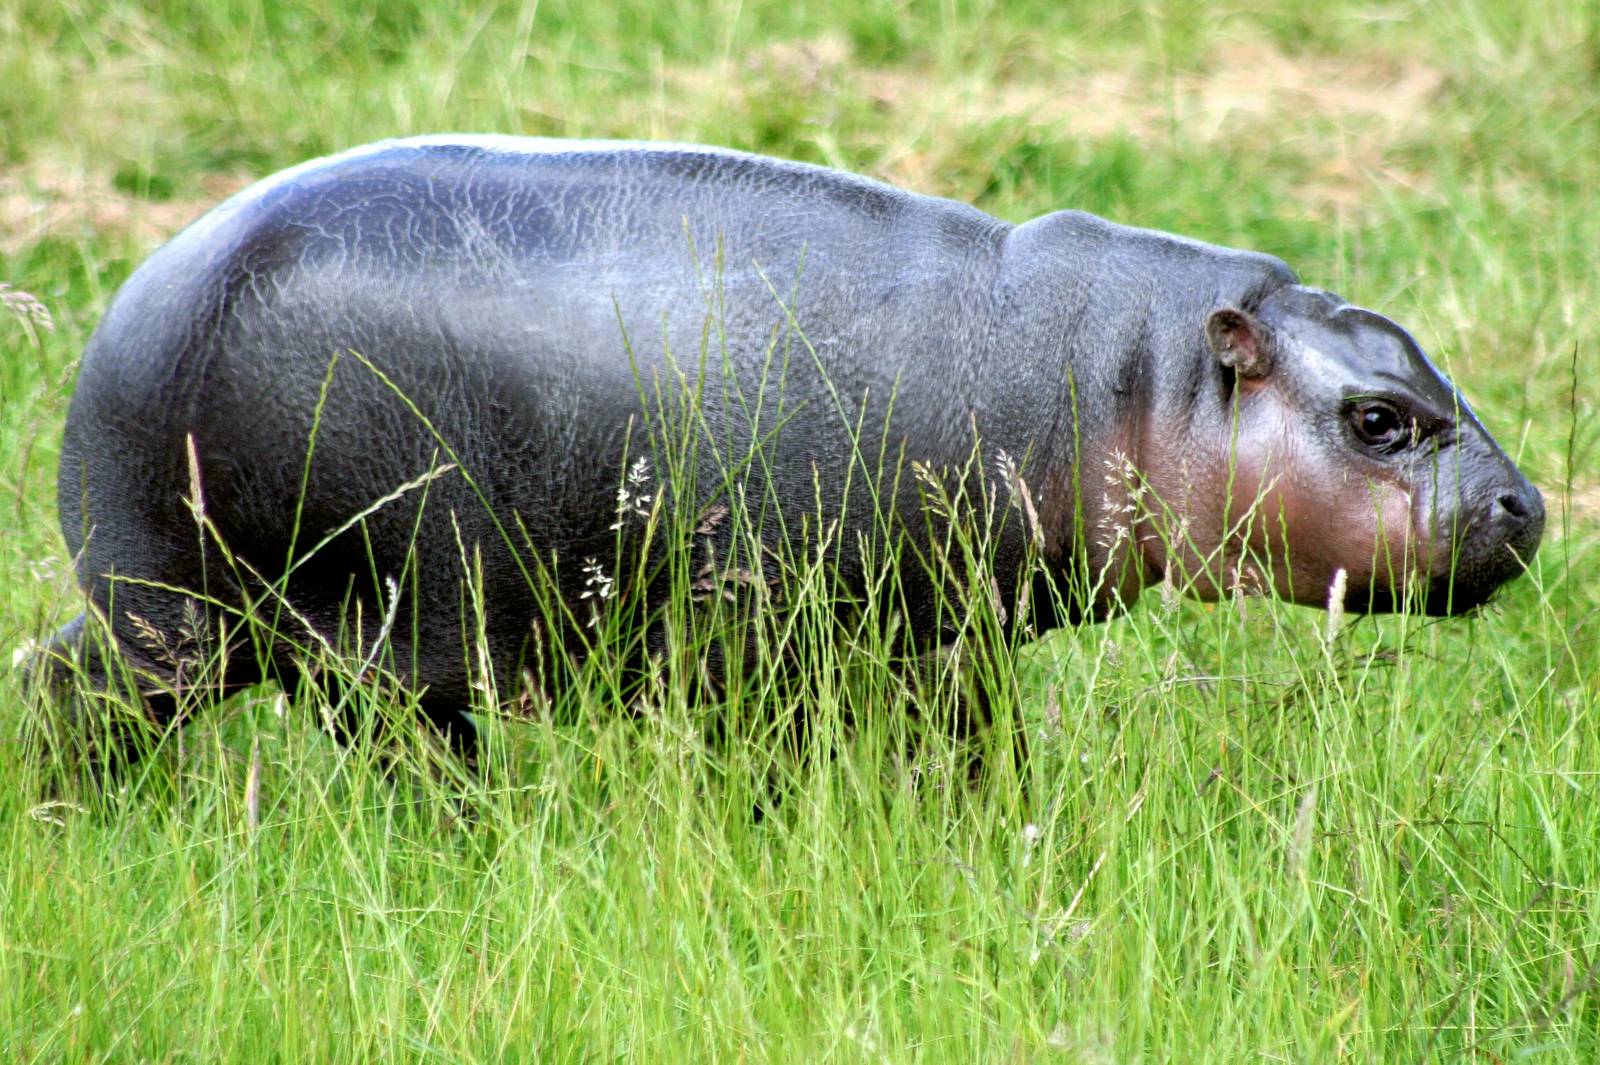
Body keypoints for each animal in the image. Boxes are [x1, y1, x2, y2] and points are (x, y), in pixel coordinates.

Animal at [34, 135, 1544, 770]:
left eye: (1425, 364)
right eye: (1378, 417)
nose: (1529, 505)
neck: (1136, 374)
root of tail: (142, 286)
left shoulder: (938, 637)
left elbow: (977, 755)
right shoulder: (780, 637)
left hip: (205, 623)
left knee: (57, 687)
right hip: (287, 624)